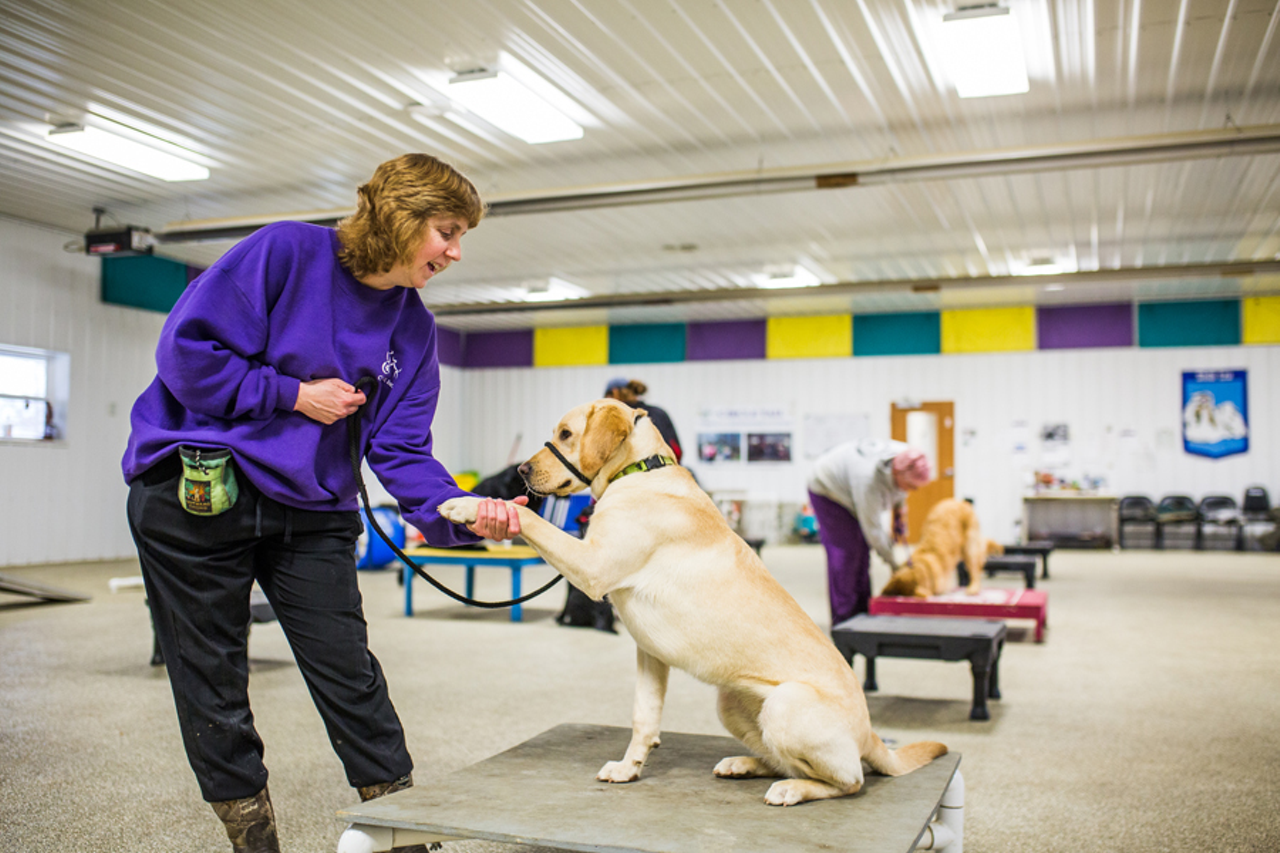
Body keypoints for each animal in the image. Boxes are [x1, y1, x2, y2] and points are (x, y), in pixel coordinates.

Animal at [435, 399, 947, 804]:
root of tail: (871, 734)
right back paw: (746, 764)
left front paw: (468, 505)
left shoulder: (592, 566)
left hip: (786, 705)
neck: (639, 472)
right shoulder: (648, 653)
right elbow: (643, 718)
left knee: (849, 780)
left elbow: (529, 518)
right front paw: (629, 768)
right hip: (731, 703)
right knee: (786, 759)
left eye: (565, 433)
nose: (521, 470)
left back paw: (793, 790)